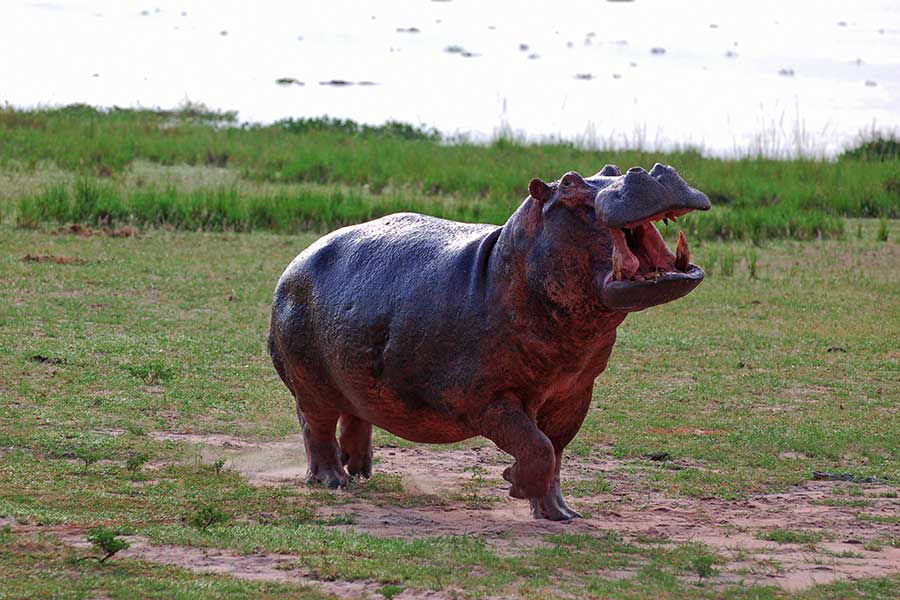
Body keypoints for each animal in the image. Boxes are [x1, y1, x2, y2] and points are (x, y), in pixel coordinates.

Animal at [268, 164, 710, 520]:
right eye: (568, 183)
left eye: (612, 168)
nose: (651, 172)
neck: (511, 264)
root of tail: (294, 264)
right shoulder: (483, 397)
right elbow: (536, 447)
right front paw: (515, 482)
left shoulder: (575, 392)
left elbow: (554, 452)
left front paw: (559, 513)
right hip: (311, 383)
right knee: (316, 426)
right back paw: (332, 481)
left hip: (354, 369)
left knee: (358, 413)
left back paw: (360, 472)